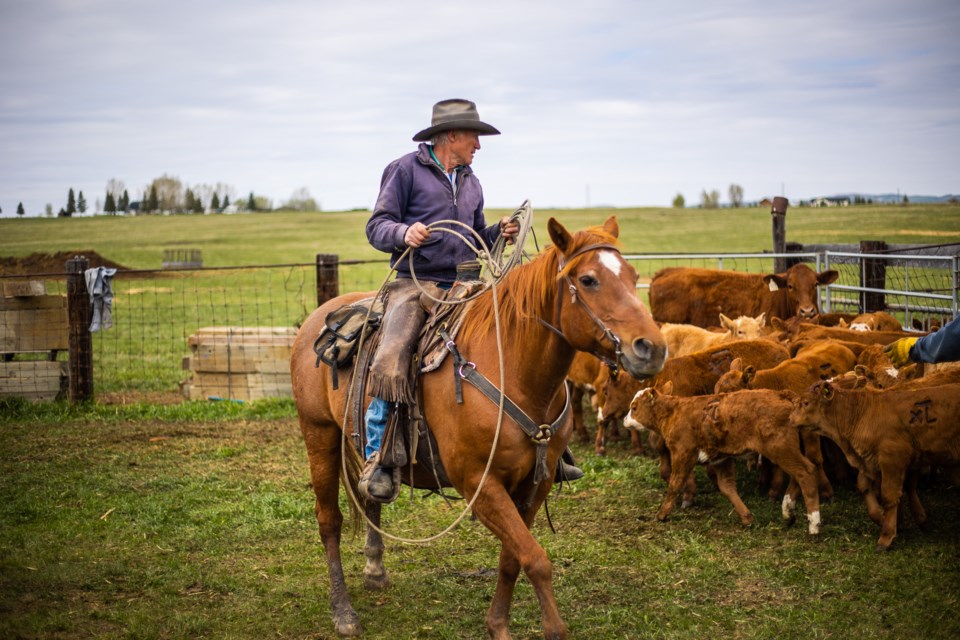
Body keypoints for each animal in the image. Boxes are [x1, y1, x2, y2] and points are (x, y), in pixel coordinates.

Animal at [292, 218, 668, 636]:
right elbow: (535, 558)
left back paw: (375, 569)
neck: (514, 372)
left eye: (633, 275)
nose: (652, 348)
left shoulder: (535, 483)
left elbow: (513, 557)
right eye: (588, 280)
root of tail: (319, 318)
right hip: (319, 434)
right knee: (329, 521)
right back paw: (343, 612)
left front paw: (498, 625)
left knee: (370, 497)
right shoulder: (479, 483)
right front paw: (552, 629)